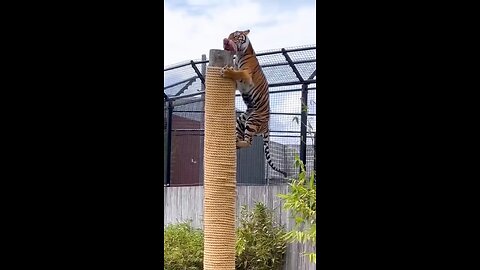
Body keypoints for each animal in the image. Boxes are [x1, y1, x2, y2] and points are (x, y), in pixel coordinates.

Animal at [222, 29, 288, 177]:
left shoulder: (246, 75)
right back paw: (234, 141)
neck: (240, 55)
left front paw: (227, 71)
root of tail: (266, 126)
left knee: (249, 142)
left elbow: (238, 73)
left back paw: (237, 142)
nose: (226, 40)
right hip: (242, 119)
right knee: (242, 138)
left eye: (235, 36)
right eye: (229, 35)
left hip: (253, 120)